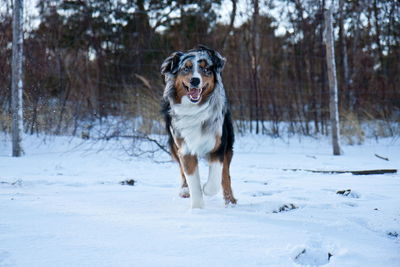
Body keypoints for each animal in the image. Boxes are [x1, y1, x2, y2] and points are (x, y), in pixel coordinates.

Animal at [160, 45, 236, 209]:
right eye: (186, 68)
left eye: (206, 69)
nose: (195, 80)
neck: (194, 109)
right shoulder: (185, 147)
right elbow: (192, 179)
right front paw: (197, 209)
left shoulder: (219, 144)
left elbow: (216, 178)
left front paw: (206, 189)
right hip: (173, 143)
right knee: (182, 171)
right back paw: (184, 190)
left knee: (225, 174)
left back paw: (230, 201)